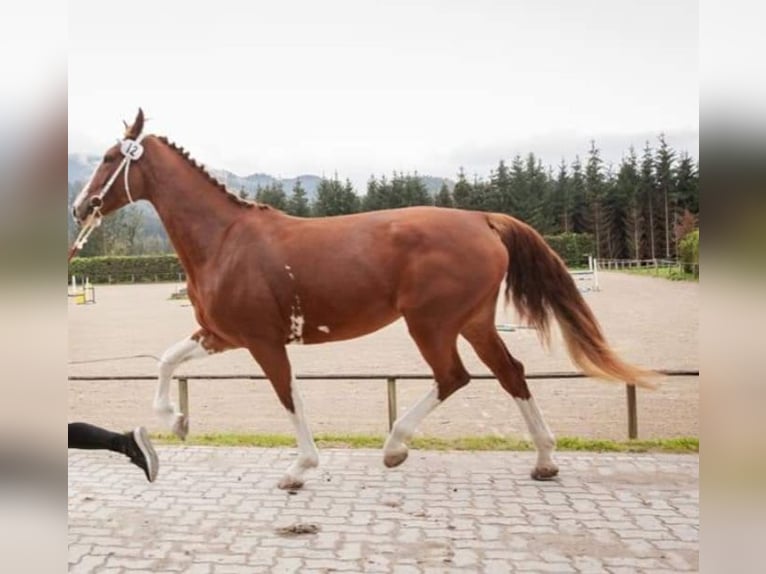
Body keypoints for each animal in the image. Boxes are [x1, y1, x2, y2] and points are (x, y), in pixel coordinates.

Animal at [72, 109, 652, 490]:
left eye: (109, 157)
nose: (80, 207)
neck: (225, 239)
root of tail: (481, 218)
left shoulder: (263, 342)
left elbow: (289, 397)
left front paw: (299, 469)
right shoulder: (222, 335)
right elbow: (167, 361)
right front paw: (175, 420)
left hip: (432, 324)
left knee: (454, 377)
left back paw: (396, 447)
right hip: (473, 322)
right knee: (510, 373)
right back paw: (545, 459)